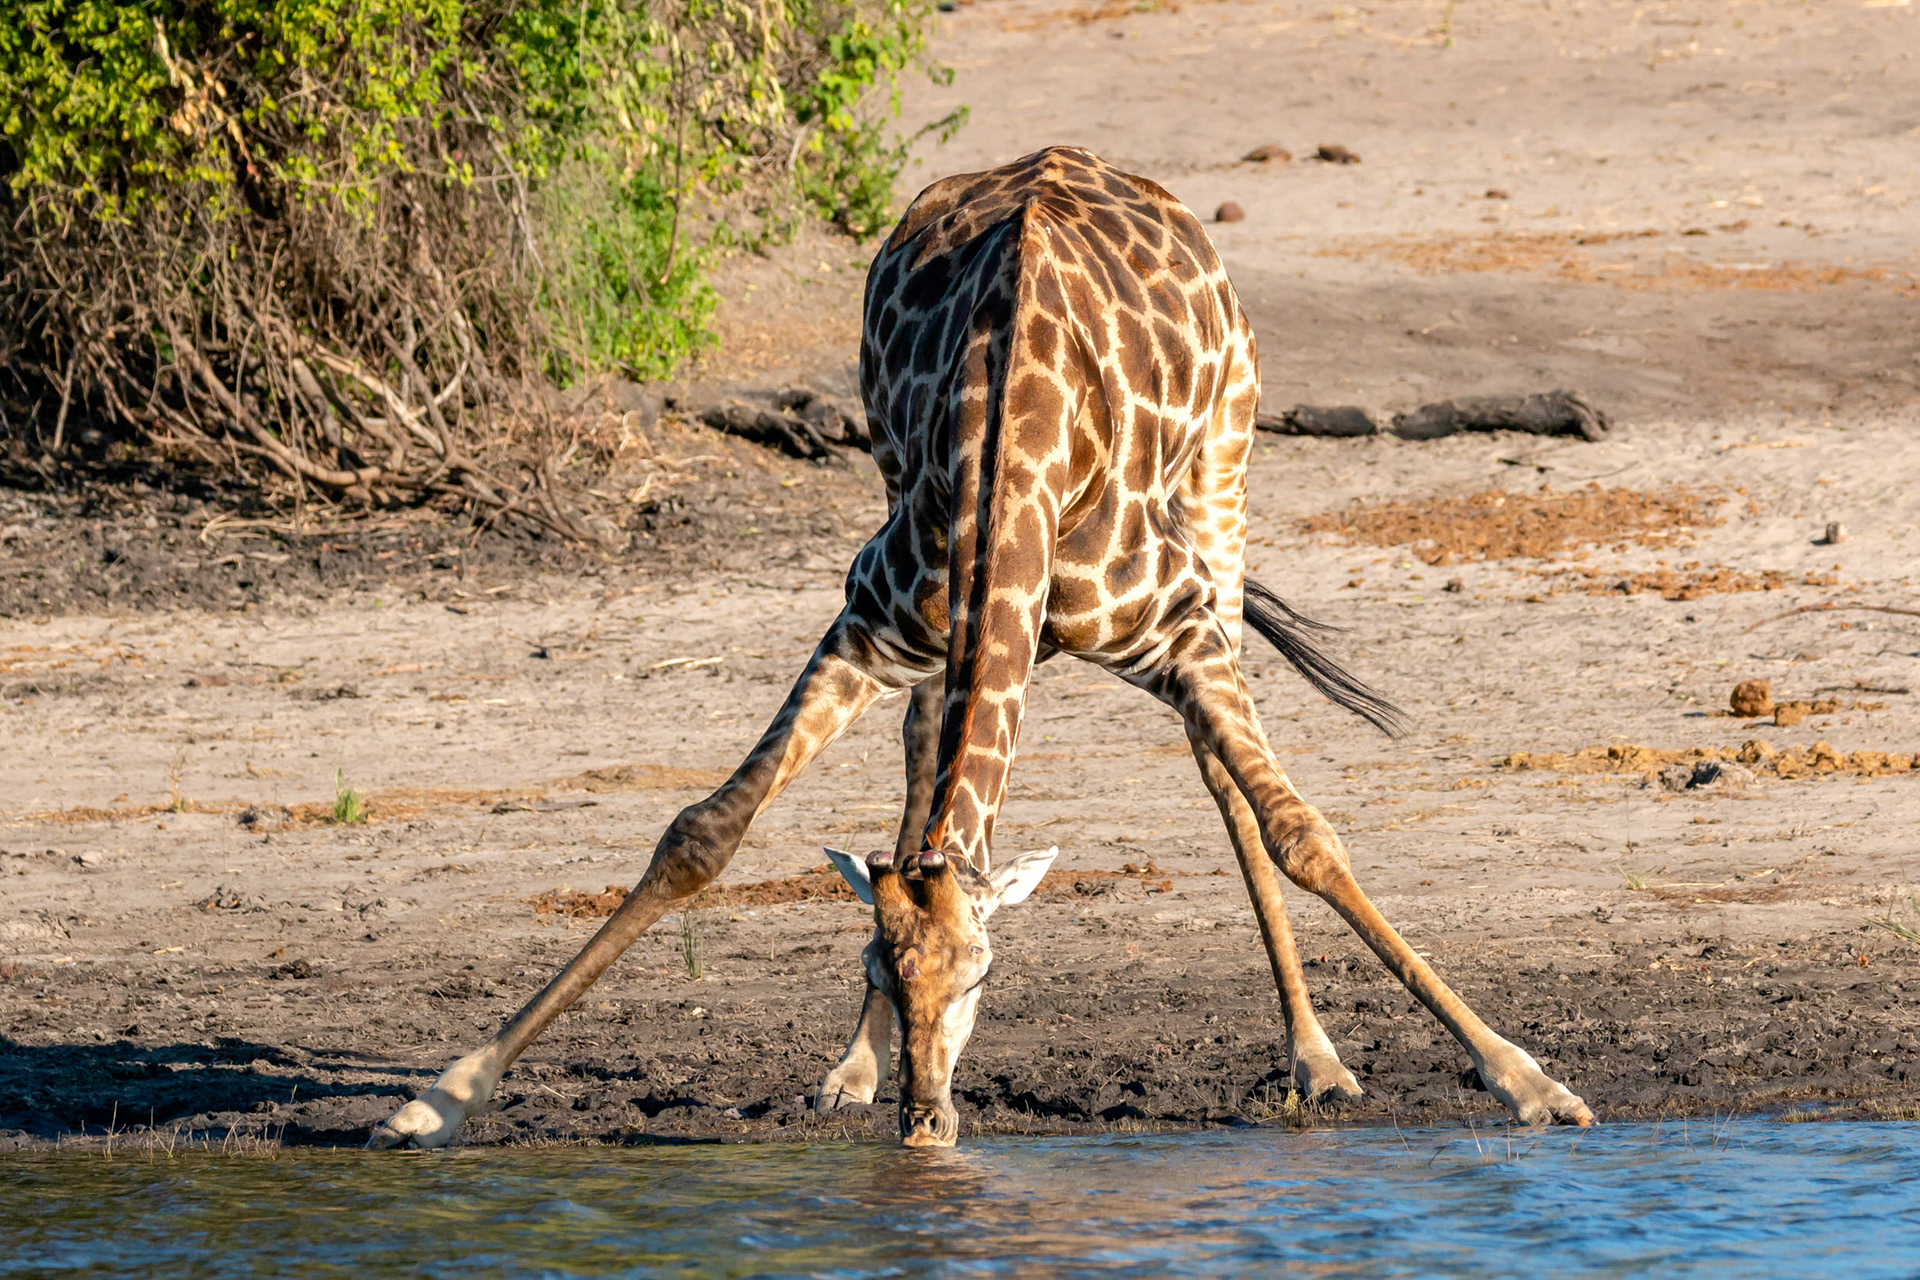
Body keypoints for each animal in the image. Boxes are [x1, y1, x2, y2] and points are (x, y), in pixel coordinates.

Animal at [369, 146, 1592, 1151]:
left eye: (982, 977)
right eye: (881, 963)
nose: (927, 1122)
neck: (1015, 462)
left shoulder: (1177, 628)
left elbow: (1301, 831)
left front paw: (1526, 1079)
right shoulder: (871, 623)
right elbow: (702, 834)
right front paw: (441, 1096)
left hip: (1225, 481)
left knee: (1224, 779)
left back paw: (1317, 1056)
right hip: (947, 580)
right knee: (928, 741)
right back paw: (853, 1072)